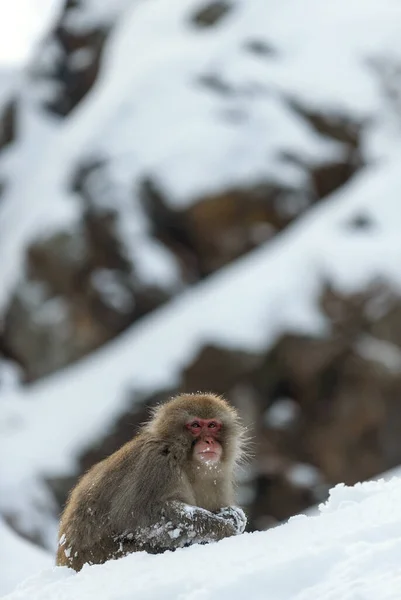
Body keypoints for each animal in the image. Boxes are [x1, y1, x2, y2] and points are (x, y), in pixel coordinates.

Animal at [56, 392, 247, 568]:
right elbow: (136, 514)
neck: (184, 460)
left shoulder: (218, 478)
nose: (209, 441)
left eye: (213, 425)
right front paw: (222, 527)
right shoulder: (157, 462)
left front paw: (232, 515)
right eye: (195, 425)